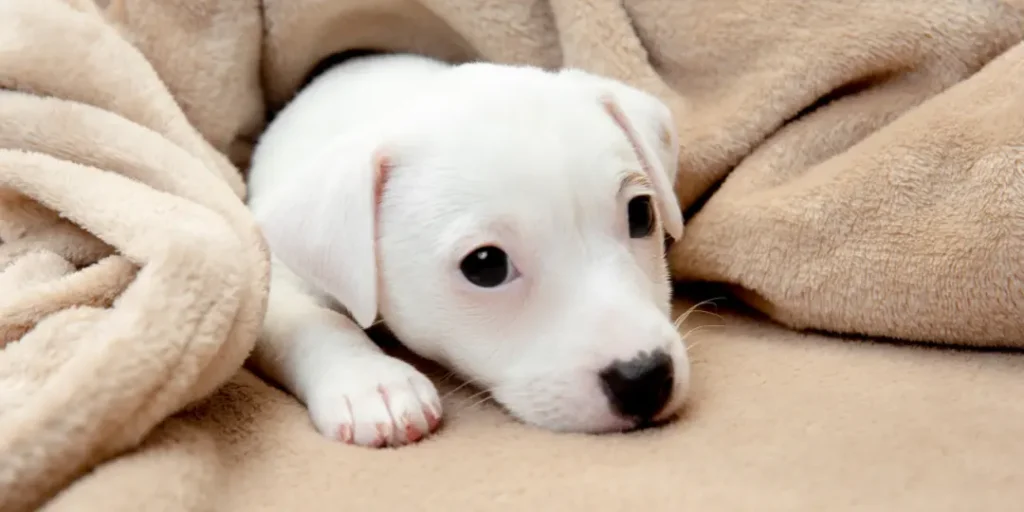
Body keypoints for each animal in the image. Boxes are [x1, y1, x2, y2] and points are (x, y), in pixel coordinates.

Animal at [246, 49, 692, 446]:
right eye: (486, 265)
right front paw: (371, 382)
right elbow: (312, 318)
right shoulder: (274, 275)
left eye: (641, 214)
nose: (645, 378)